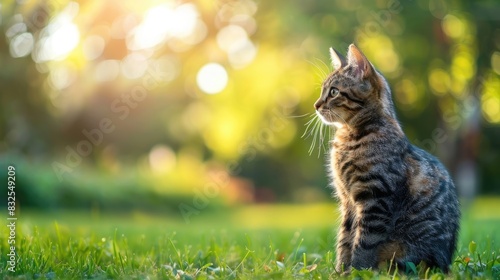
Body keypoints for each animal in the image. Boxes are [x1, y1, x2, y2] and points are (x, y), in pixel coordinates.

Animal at [316, 44, 460, 274]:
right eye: (323, 91)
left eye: (334, 92)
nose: (316, 105)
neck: (352, 135)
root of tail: (444, 265)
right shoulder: (347, 201)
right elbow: (344, 239)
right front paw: (340, 271)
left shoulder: (376, 197)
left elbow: (364, 242)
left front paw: (357, 271)